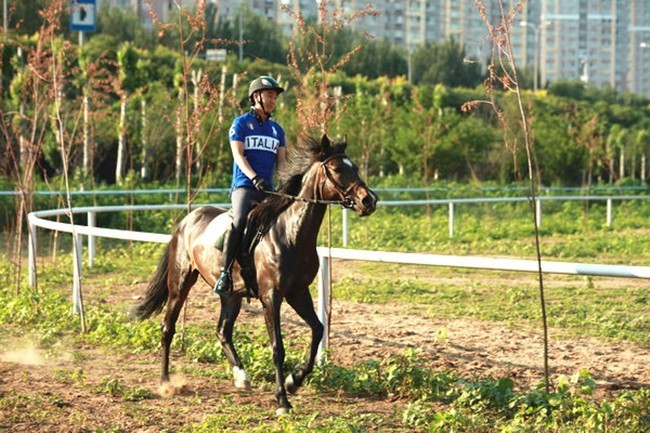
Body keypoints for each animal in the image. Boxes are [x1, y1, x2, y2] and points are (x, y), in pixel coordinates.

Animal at [133, 134, 378, 415]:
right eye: (337, 169)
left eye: (355, 167)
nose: (369, 200)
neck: (291, 234)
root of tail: (188, 219)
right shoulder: (271, 296)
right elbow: (278, 347)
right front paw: (282, 400)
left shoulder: (298, 292)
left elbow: (317, 329)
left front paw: (295, 380)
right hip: (180, 283)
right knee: (168, 328)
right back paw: (166, 382)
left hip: (231, 295)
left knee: (223, 331)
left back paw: (241, 376)